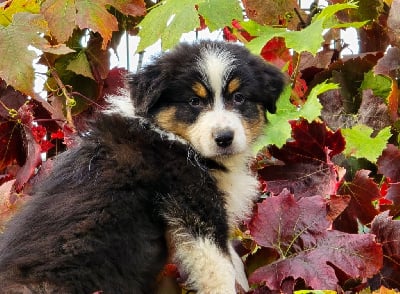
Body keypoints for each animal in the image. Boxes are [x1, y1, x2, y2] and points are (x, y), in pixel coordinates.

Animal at [0, 40, 284, 292]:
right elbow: (221, 268)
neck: (174, 139)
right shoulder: (194, 206)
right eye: (194, 101)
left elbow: (234, 262)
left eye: (239, 98)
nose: (224, 138)